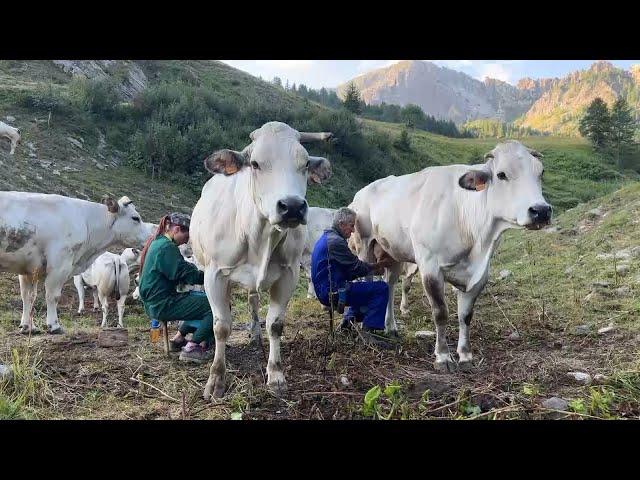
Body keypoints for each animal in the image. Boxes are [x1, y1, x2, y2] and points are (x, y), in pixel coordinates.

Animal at [0, 193, 154, 336]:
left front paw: (28, 327)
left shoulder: (30, 269)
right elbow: (52, 295)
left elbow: (28, 296)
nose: (150, 237)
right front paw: (54, 325)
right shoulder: (60, 265)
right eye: (135, 218)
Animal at [190, 121, 332, 398]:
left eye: (305, 163)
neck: (259, 237)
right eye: (255, 163)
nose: (292, 206)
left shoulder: (289, 274)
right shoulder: (214, 275)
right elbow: (221, 326)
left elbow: (275, 324)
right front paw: (216, 378)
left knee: (253, 300)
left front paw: (276, 375)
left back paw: (255, 332)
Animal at [350, 141, 552, 374]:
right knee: (368, 280)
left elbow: (466, 315)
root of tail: (362, 191)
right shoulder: (430, 268)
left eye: (541, 172)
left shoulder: (480, 275)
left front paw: (465, 355)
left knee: (389, 284)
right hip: (364, 246)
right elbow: (441, 313)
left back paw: (390, 326)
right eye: (501, 174)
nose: (541, 211)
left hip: (392, 252)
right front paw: (443, 356)